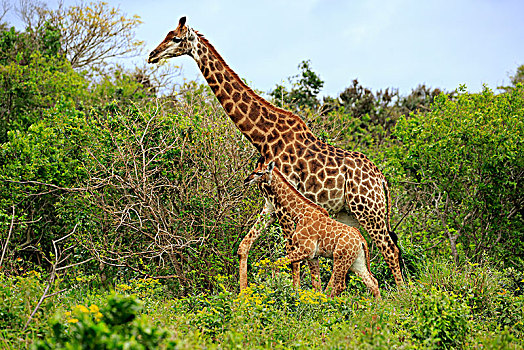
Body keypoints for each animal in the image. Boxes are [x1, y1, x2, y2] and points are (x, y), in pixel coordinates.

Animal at [246, 159, 380, 298]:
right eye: (255, 170)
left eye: (259, 173)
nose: (246, 180)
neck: (299, 214)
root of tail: (362, 241)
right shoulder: (313, 256)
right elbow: (316, 285)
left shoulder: (306, 250)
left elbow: (276, 262)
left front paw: (275, 287)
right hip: (357, 261)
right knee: (372, 282)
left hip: (340, 257)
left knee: (340, 285)